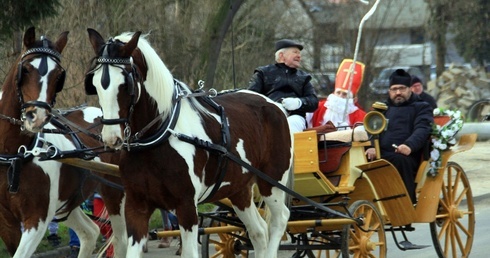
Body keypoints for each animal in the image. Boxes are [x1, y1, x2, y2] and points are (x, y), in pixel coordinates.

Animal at [0, 27, 126, 256]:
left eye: (58, 75)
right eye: (26, 69)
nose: (37, 117)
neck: (15, 155)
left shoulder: (37, 219)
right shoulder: (6, 222)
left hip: (116, 193)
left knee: (121, 240)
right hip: (67, 204)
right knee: (90, 232)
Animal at [84, 29, 292, 256]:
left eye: (125, 84)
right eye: (95, 84)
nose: (111, 137)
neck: (157, 140)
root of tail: (274, 104)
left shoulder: (187, 207)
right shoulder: (136, 205)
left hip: (272, 181)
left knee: (280, 220)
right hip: (238, 189)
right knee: (259, 232)